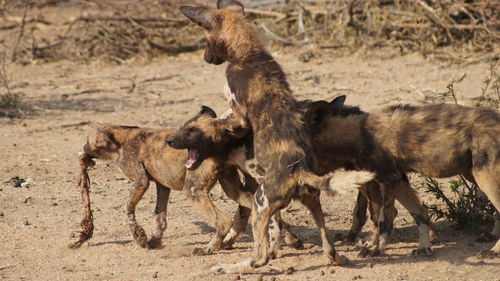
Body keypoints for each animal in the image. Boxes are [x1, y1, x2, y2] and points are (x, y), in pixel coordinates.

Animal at [180, 0, 376, 272]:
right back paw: (339, 256)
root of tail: (298, 171)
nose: (206, 58)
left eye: (205, 40)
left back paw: (228, 267)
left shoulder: (238, 113)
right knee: (328, 247)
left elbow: (220, 119)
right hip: (312, 200)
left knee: (259, 256)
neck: (249, 53)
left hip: (260, 203)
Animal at [308, 96, 500, 256]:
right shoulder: (399, 180)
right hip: (472, 174)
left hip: (483, 176)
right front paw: (425, 247)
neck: (357, 134)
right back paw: (491, 235)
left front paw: (375, 250)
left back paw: (494, 251)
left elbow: (383, 221)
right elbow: (419, 213)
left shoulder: (388, 180)